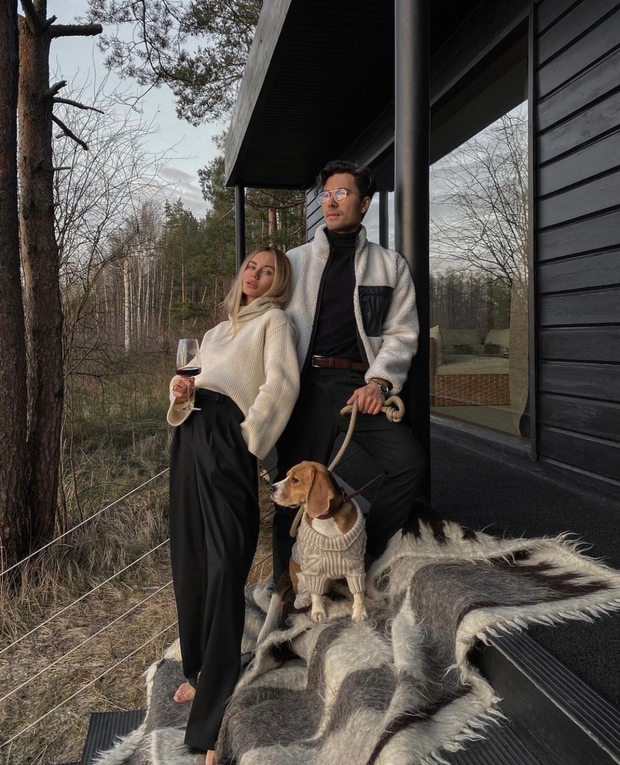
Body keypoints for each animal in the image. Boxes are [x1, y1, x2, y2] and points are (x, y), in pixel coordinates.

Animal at [257, 461, 367, 645]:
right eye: (287, 476)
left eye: (294, 480)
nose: (271, 488)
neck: (327, 519)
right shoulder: (313, 567)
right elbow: (315, 594)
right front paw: (317, 611)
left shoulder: (355, 564)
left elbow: (357, 591)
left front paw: (359, 612)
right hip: (300, 574)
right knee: (298, 599)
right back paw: (305, 599)